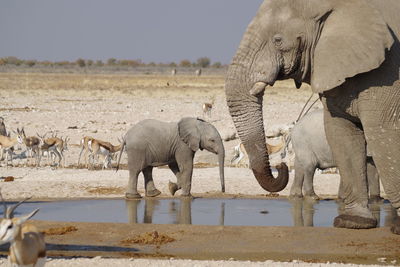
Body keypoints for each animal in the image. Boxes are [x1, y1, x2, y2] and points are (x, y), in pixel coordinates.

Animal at [225, 0, 400, 234]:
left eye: (278, 40)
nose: (280, 166)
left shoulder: (388, 70)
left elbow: (382, 132)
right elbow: (342, 132)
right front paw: (353, 222)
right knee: (306, 167)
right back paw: (310, 198)